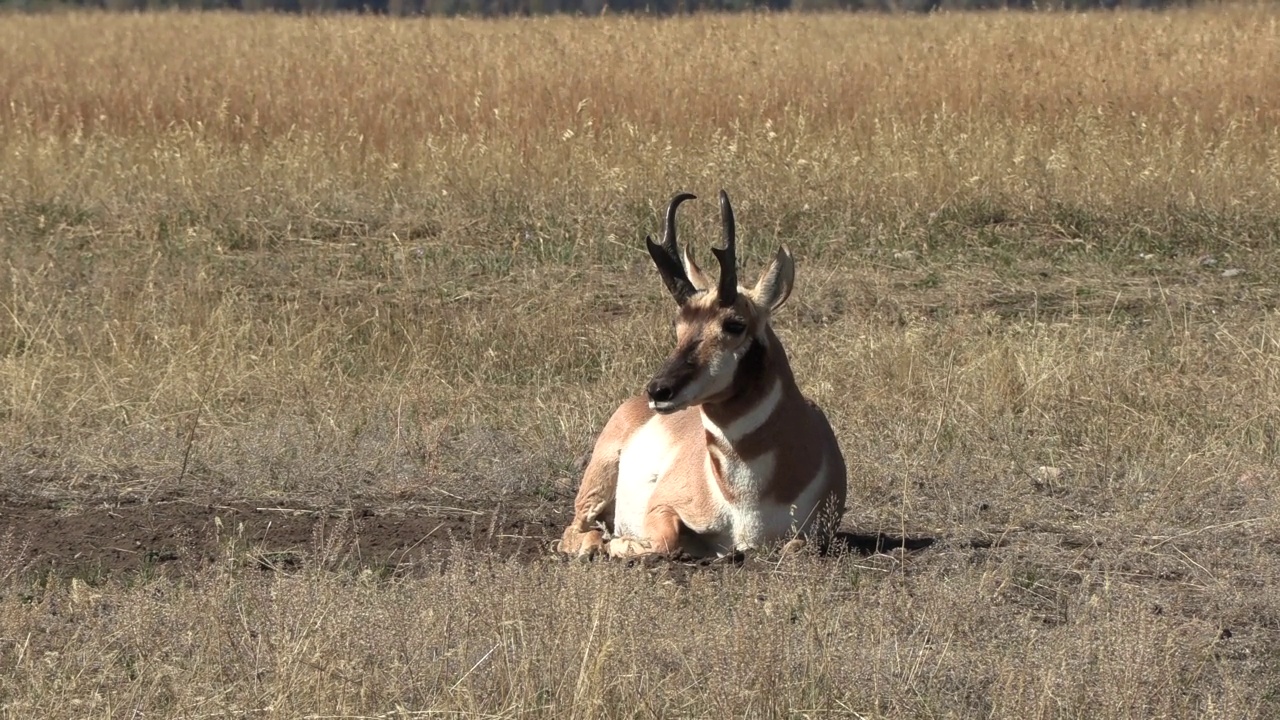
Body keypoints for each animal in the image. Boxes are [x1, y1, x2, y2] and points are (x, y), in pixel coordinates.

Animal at [563, 189, 849, 556]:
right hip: (598, 478)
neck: (745, 501)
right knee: (573, 532)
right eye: (679, 324)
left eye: (734, 324)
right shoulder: (662, 507)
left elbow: (796, 546)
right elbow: (666, 540)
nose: (659, 390)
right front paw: (620, 544)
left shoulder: (818, 536)